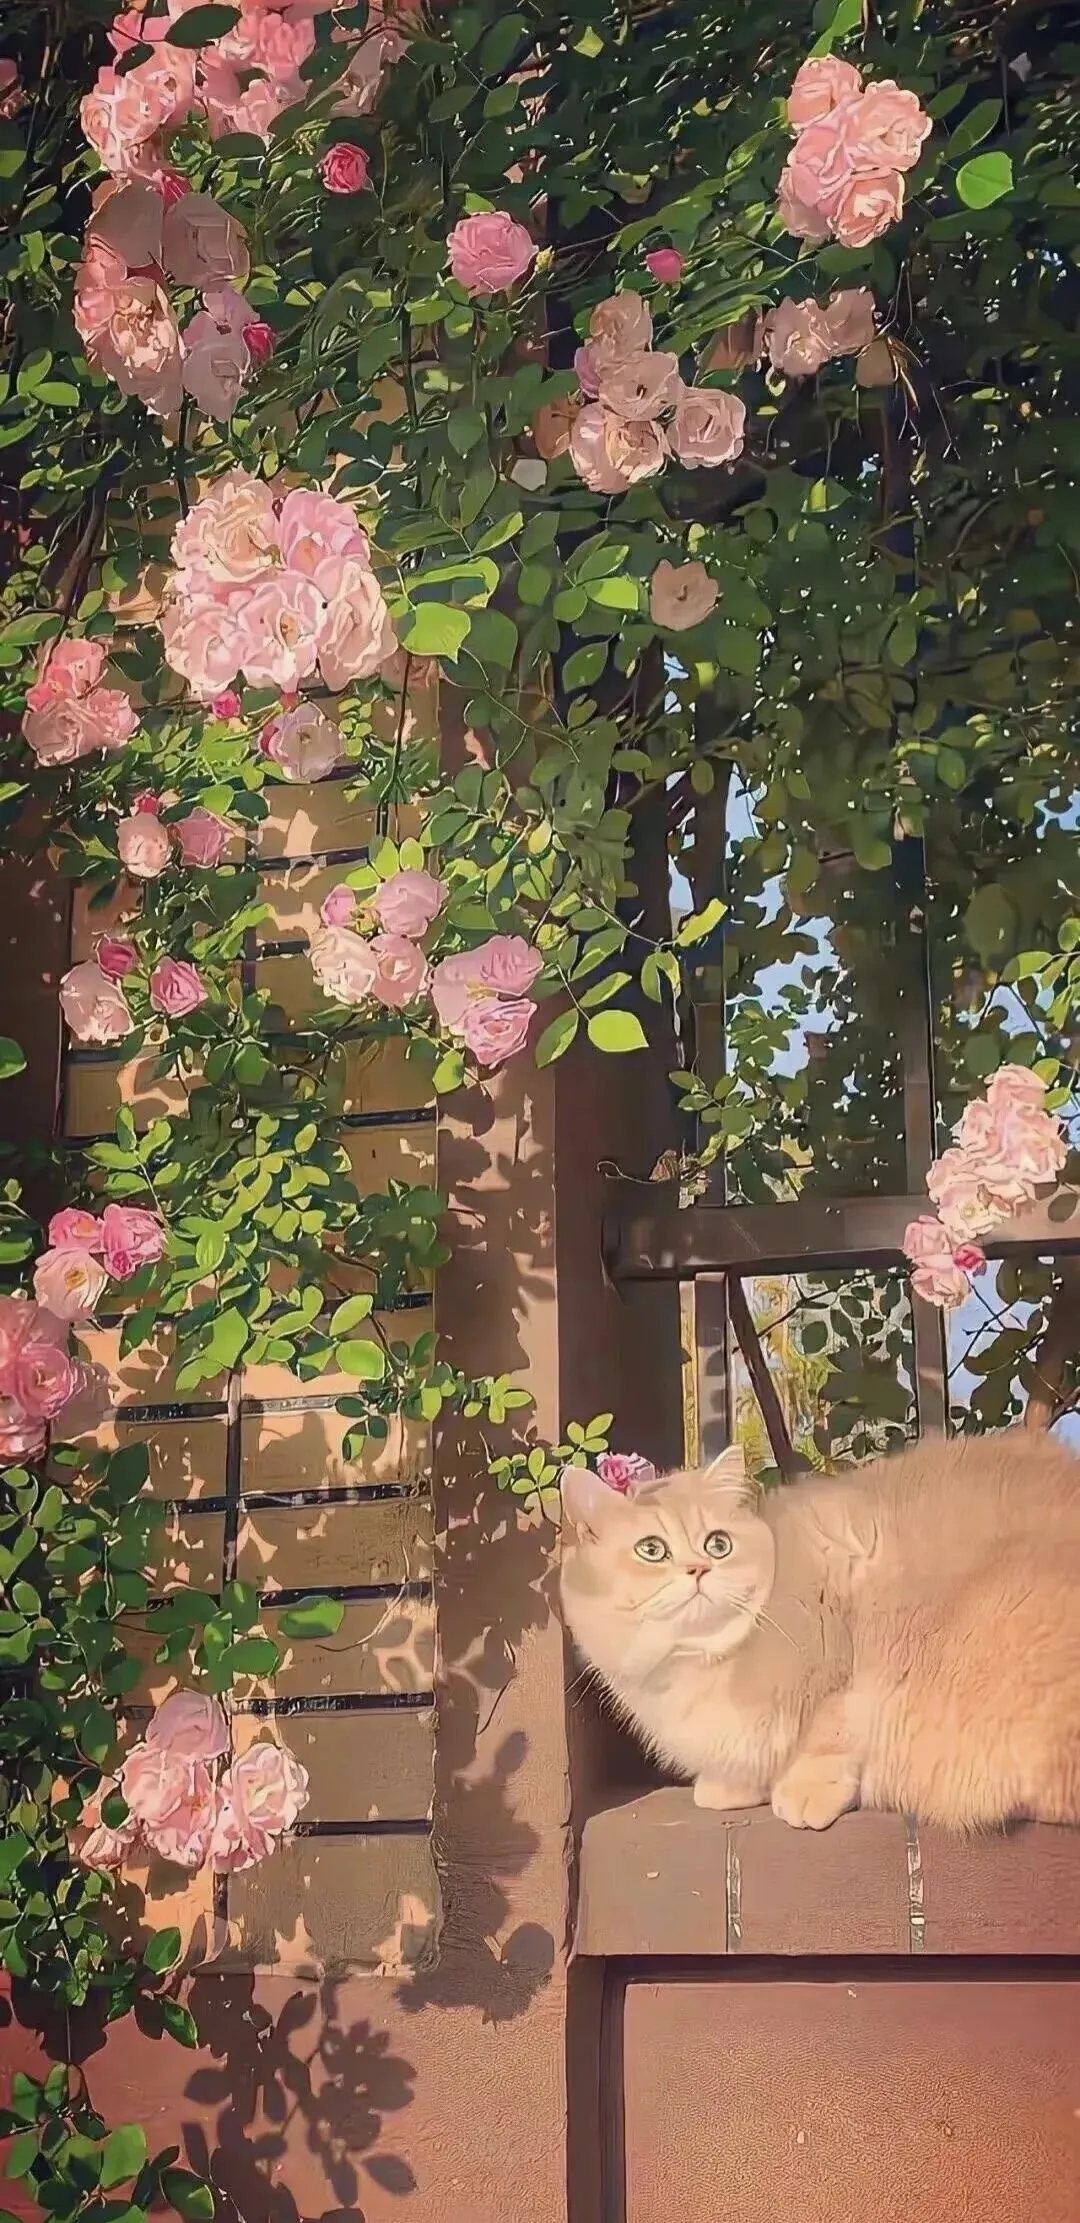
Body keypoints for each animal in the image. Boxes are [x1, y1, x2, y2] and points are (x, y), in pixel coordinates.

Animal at [559, 1431, 1080, 1832]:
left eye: (718, 1544)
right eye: (651, 1549)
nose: (698, 1569)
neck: (703, 1664)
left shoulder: (843, 1658)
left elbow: (830, 1730)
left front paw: (803, 1792)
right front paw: (730, 1787)